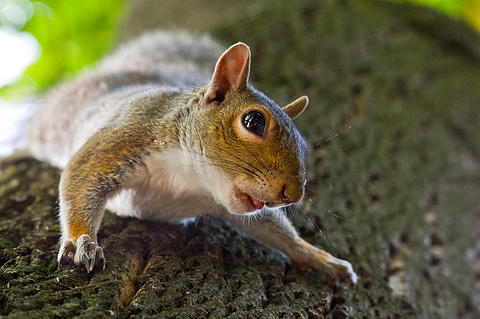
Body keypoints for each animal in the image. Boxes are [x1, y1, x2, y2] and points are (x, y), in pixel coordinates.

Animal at [26, 30, 356, 284]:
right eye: (253, 121)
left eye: (302, 143)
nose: (293, 195)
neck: (189, 179)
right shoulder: (125, 135)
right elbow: (82, 177)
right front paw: (82, 241)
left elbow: (273, 229)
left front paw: (319, 258)